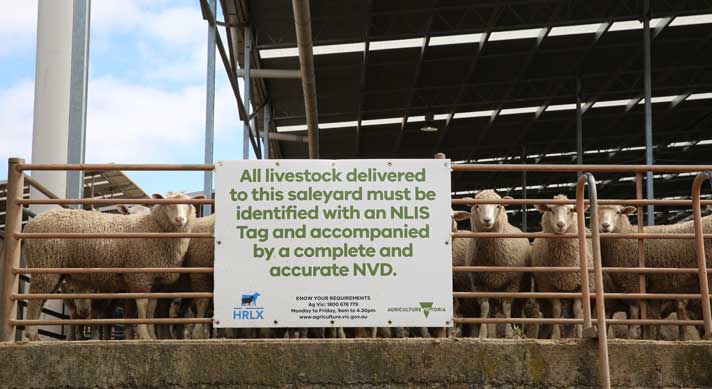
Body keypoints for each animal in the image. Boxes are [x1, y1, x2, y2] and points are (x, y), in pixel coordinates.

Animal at [23, 191, 196, 340]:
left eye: (189, 204)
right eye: (167, 204)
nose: (180, 220)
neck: (153, 228)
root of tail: (30, 224)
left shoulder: (156, 282)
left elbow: (150, 309)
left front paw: (152, 336)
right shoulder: (139, 275)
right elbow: (142, 306)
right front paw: (144, 336)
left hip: (53, 269)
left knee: (41, 299)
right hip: (45, 263)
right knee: (35, 298)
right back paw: (32, 335)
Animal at [464, 189, 532, 334]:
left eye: (498, 206)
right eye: (477, 206)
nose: (487, 220)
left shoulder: (512, 281)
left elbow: (507, 308)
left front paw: (509, 333)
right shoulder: (479, 283)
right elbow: (484, 308)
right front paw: (483, 334)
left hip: (523, 287)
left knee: (518, 310)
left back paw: (520, 331)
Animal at [532, 193, 592, 336]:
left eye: (571, 210)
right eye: (550, 209)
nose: (560, 224)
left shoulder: (579, 285)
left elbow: (577, 310)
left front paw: (580, 334)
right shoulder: (548, 286)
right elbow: (556, 310)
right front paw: (555, 335)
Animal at [596, 205, 712, 338]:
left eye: (617, 212)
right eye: (597, 212)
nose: (605, 225)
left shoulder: (633, 281)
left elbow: (634, 311)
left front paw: (633, 335)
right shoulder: (652, 290)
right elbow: (653, 318)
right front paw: (650, 337)